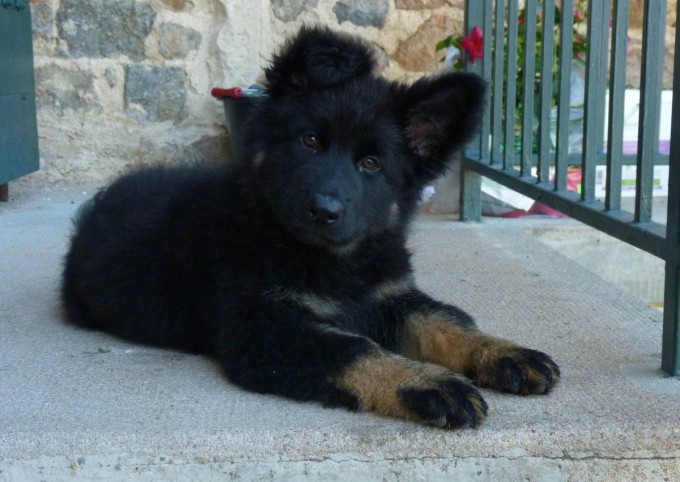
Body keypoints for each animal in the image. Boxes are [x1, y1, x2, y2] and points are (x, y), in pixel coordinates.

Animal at [62, 26, 556, 428]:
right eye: (310, 141)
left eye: (371, 164)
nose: (324, 210)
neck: (330, 260)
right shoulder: (265, 327)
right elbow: (355, 348)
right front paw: (430, 383)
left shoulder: (391, 295)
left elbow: (445, 320)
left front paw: (504, 352)